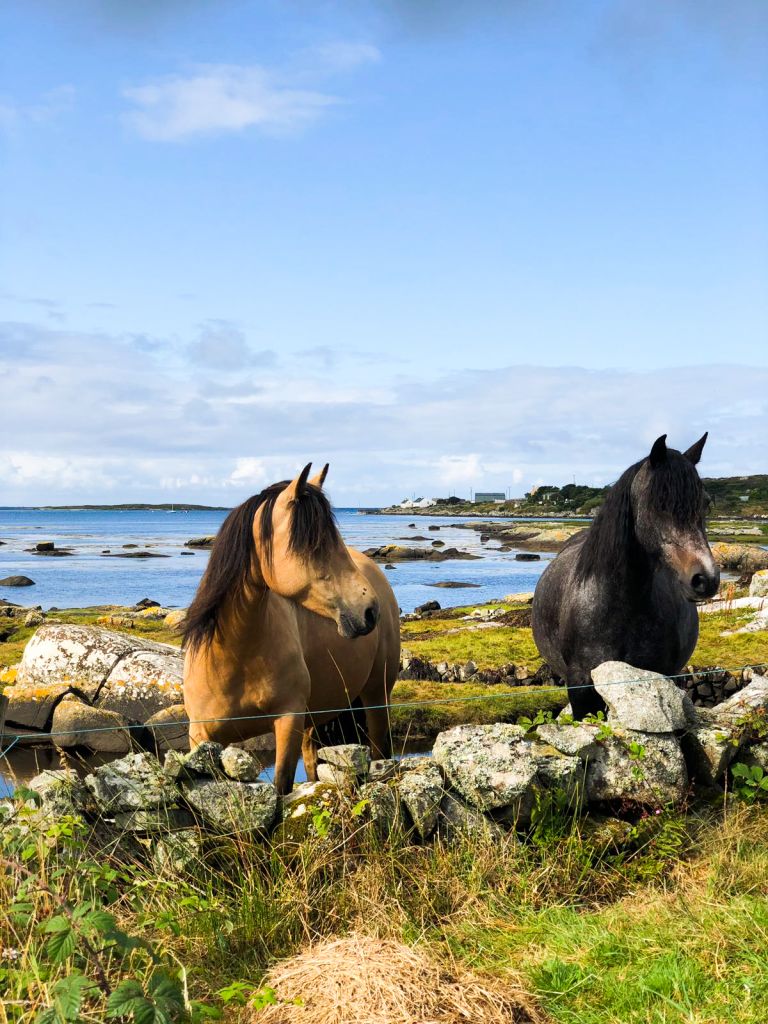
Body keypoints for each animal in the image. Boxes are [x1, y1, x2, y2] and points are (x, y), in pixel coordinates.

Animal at [182, 463, 401, 794]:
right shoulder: (201, 737)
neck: (231, 655)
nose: (369, 610)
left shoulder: (288, 721)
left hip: (376, 696)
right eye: (315, 544)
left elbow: (281, 788)